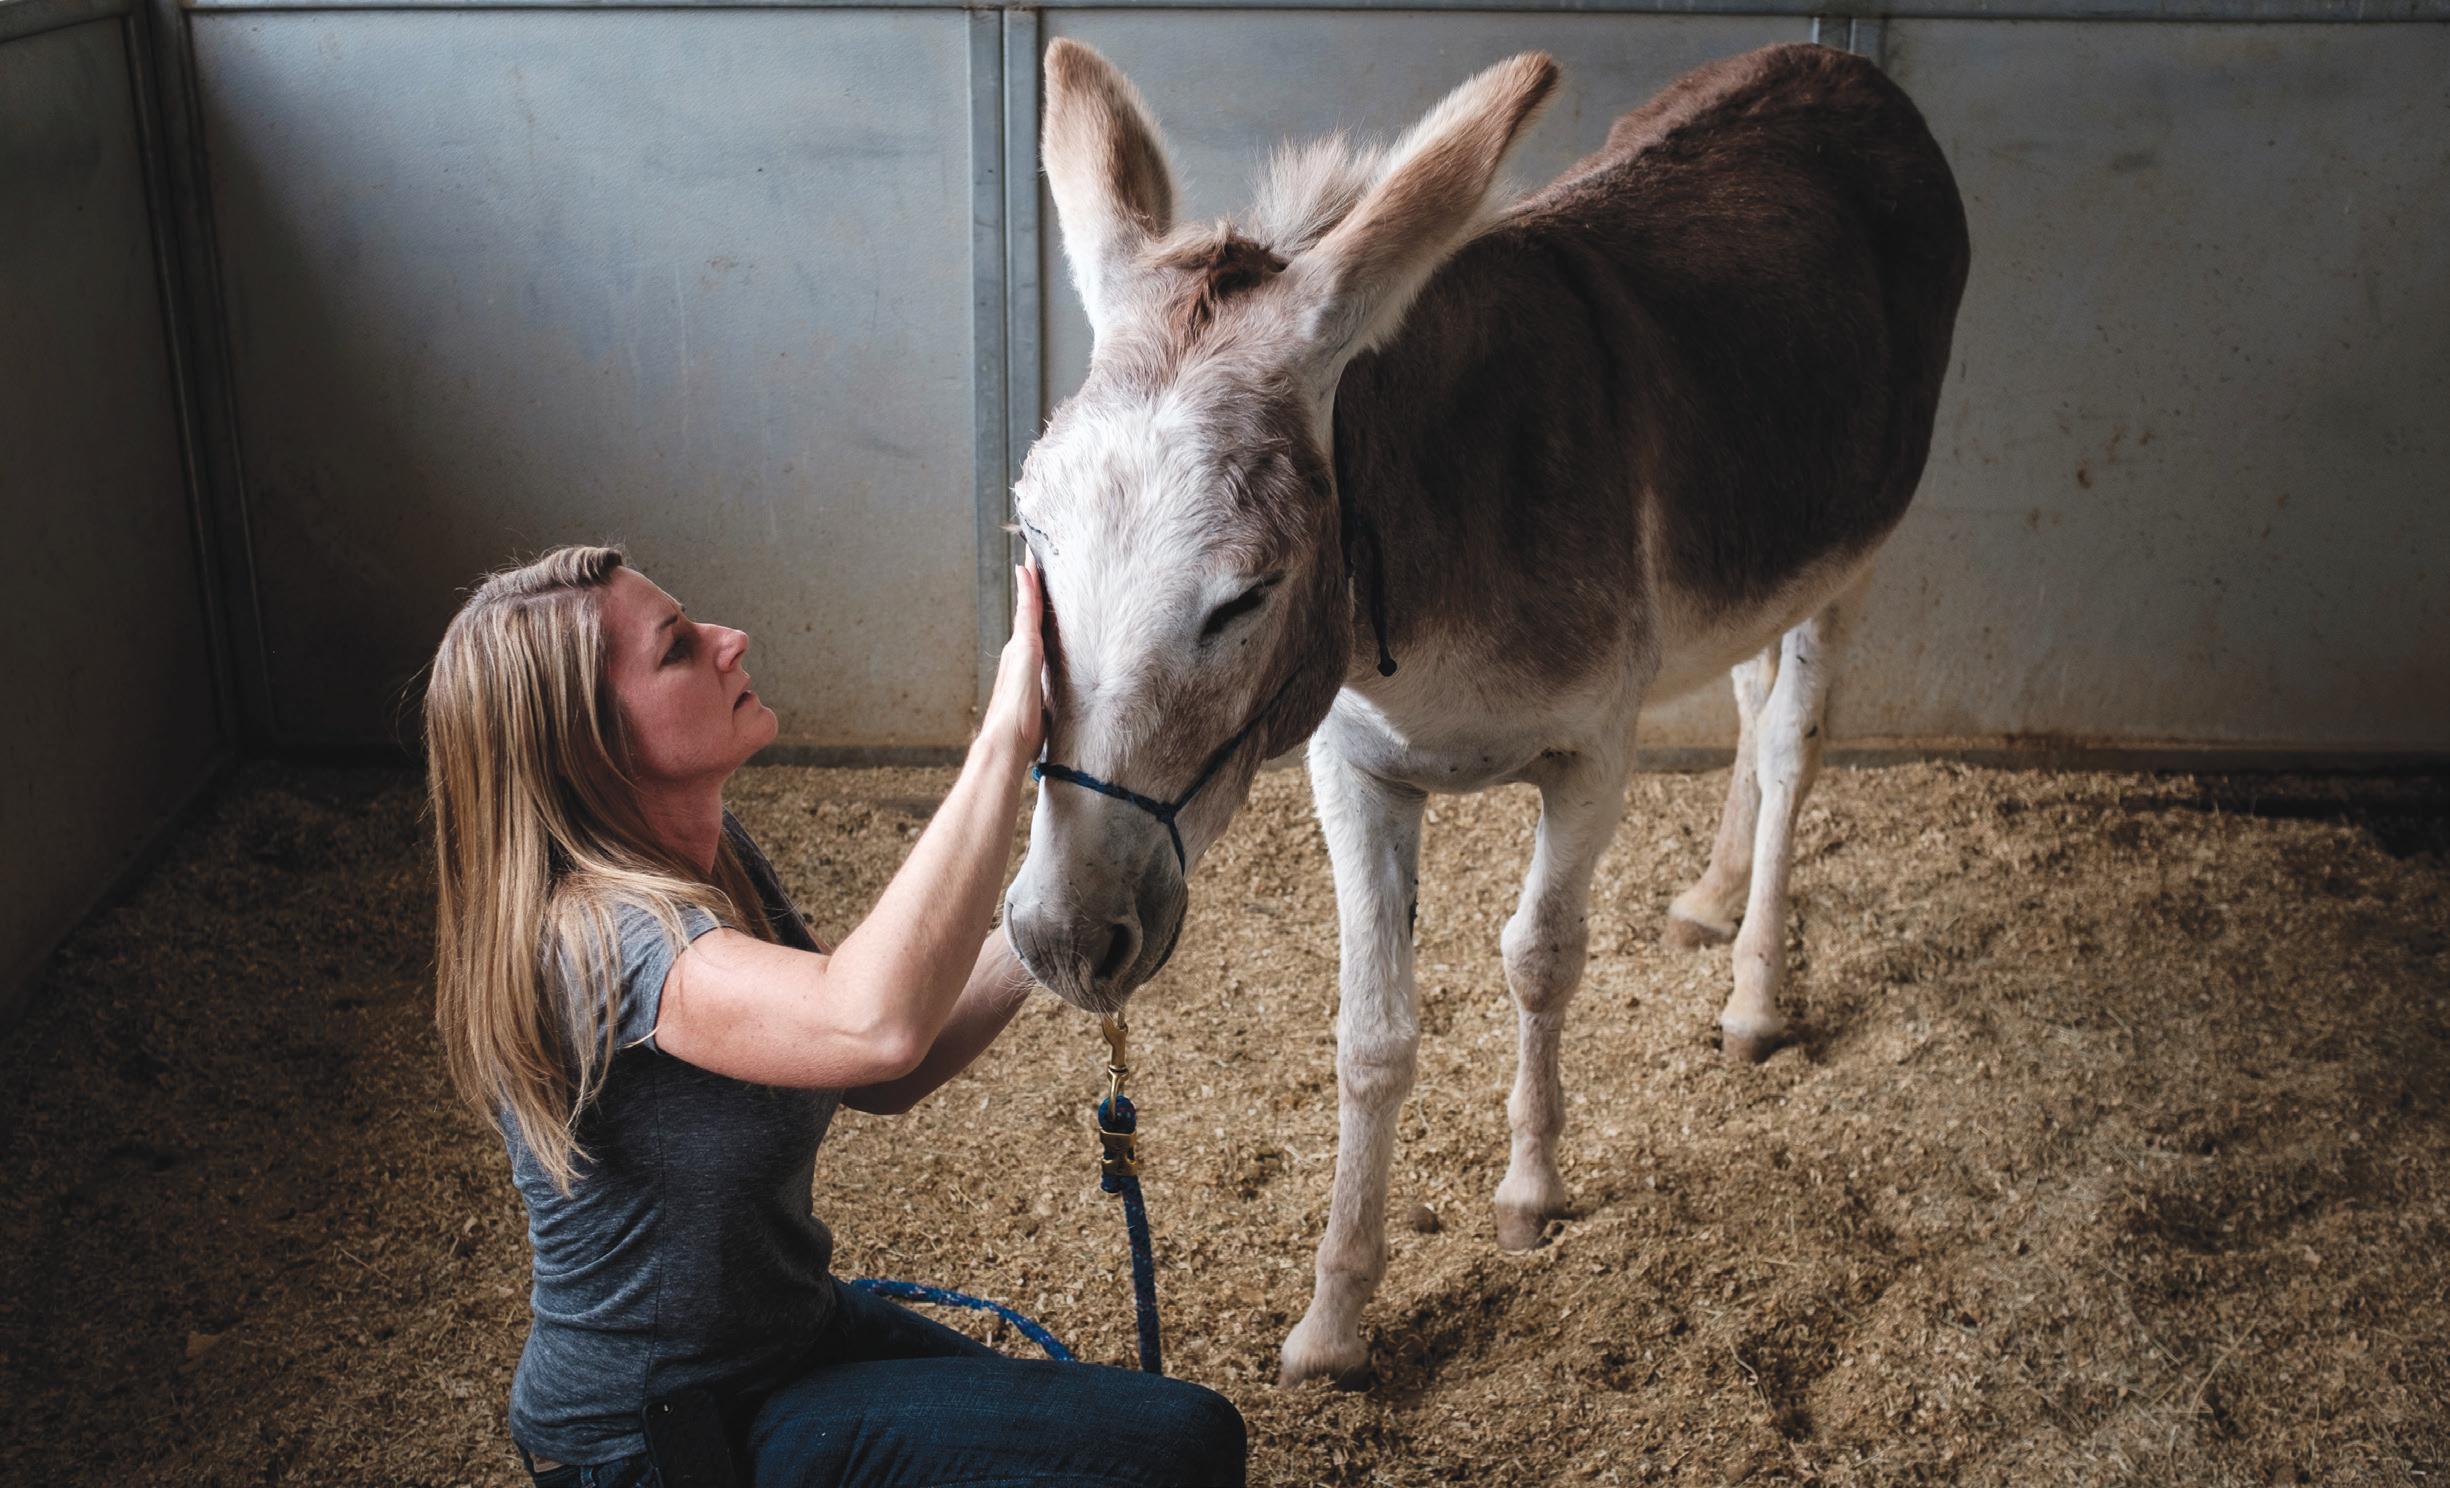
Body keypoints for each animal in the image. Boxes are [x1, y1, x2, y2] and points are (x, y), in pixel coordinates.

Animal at [1000, 38, 1970, 1385]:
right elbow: (1371, 1034)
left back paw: (1754, 995)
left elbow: (1539, 958)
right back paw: (1711, 897)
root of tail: (1825, 60)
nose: (1059, 937)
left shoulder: (1591, 757)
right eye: (1029, 539)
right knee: (1743, 690)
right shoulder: (1353, 769)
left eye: (1244, 595)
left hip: (1852, 548)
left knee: (1789, 742)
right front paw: (1334, 1324)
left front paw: (1528, 1193)